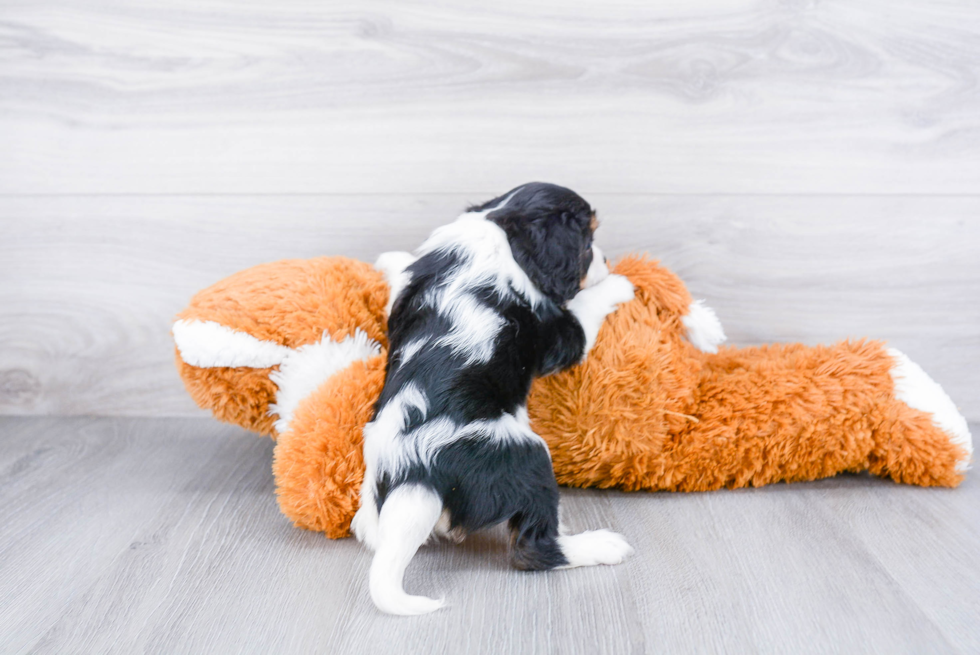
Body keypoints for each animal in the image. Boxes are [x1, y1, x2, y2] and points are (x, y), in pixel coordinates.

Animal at [352, 183, 636, 616]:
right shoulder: (558, 335)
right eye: (588, 242)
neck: (498, 227)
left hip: (374, 504)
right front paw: (619, 283)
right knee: (533, 549)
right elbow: (583, 309)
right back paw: (599, 544)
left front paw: (390, 261)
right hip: (524, 456)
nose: (607, 259)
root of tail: (416, 471)